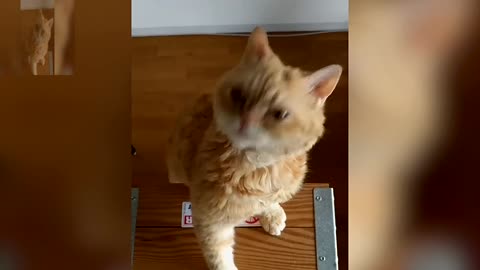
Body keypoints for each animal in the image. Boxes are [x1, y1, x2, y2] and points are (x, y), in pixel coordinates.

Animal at [167, 28, 344, 270]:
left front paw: (271, 213)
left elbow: (269, 201)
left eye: (280, 114)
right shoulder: (210, 221)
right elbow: (219, 257)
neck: (257, 168)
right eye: (239, 95)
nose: (245, 121)